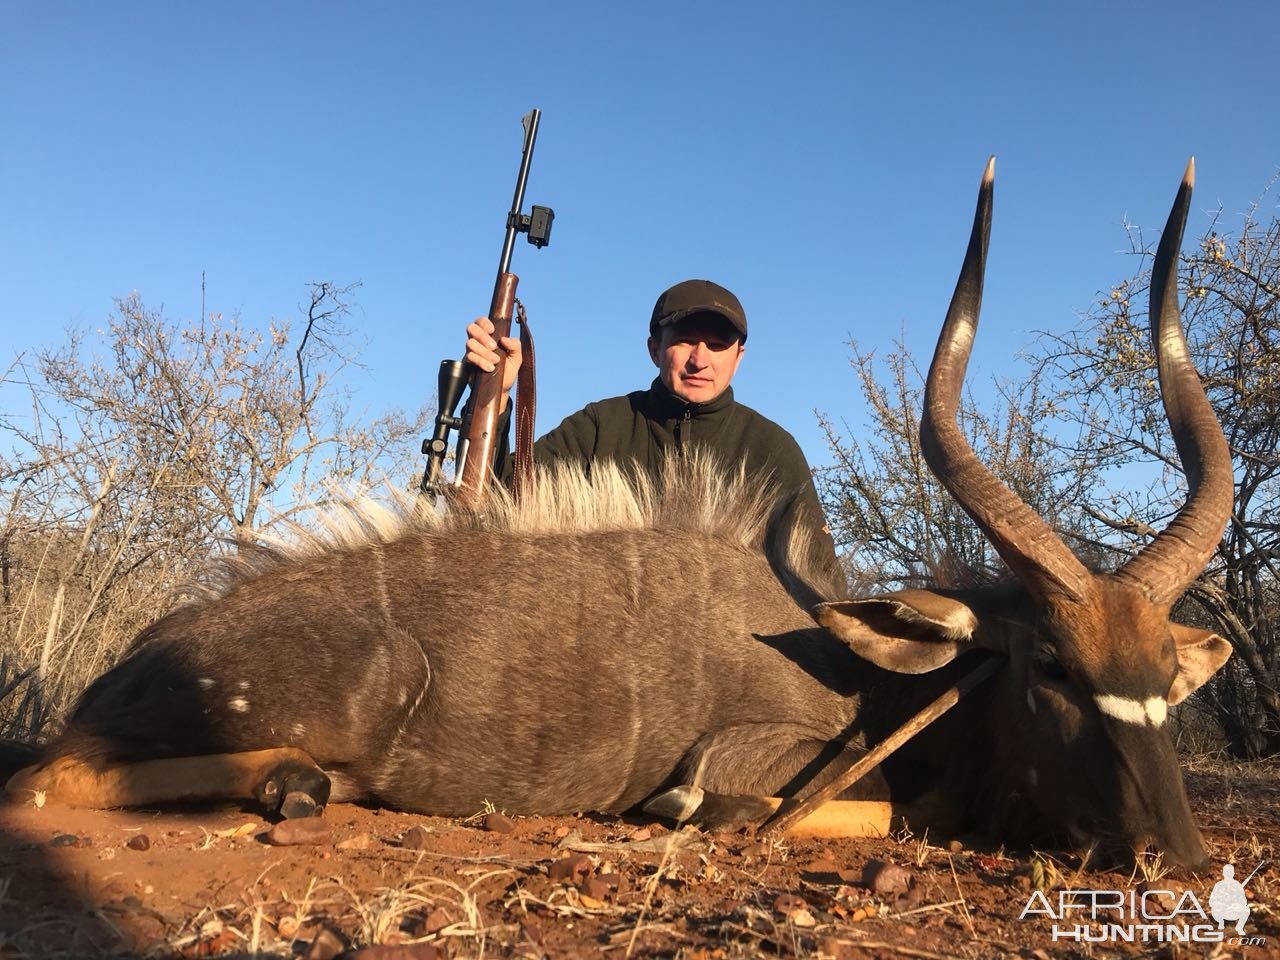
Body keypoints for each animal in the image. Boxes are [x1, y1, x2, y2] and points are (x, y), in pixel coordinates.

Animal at [7, 156, 1228, 865]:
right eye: (1049, 667)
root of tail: (140, 655)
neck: (876, 676)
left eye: (1164, 679)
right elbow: (829, 806)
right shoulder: (745, 761)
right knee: (42, 781)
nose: (1171, 855)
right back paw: (294, 783)